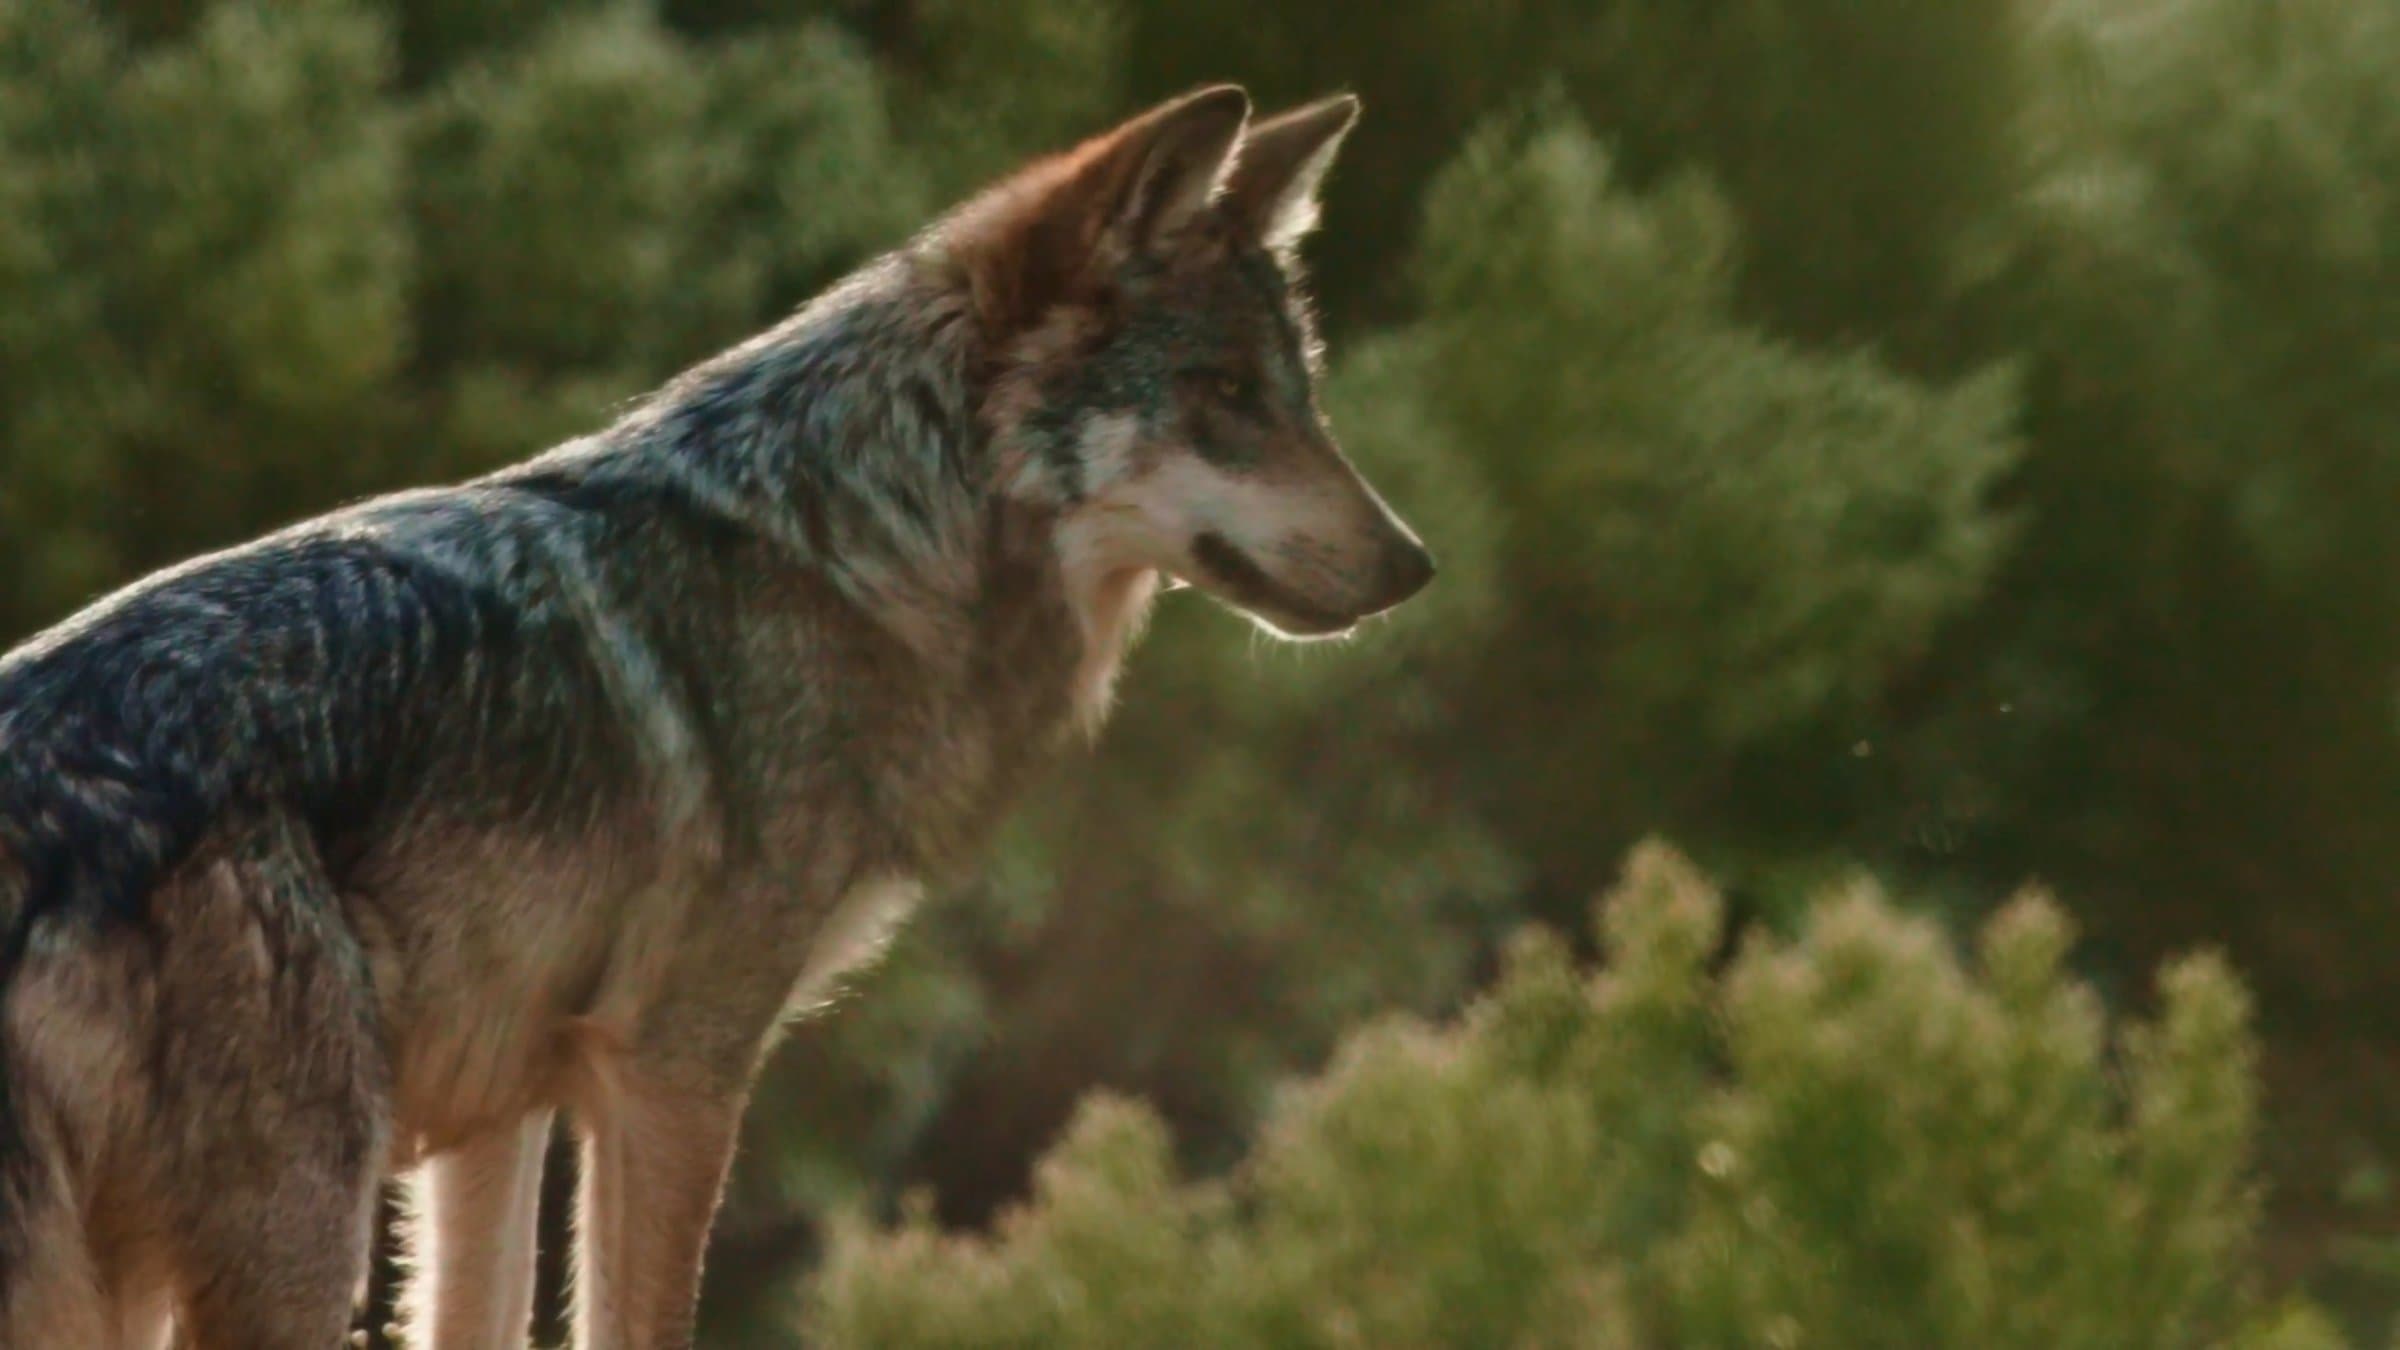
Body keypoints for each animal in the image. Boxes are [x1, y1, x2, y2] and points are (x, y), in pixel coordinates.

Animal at [0, 84, 1429, 1349]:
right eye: (1227, 396)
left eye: (1302, 396)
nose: (1416, 565)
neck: (855, 550)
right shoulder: (672, 1071)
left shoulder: (496, 1112)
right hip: (284, 1231)